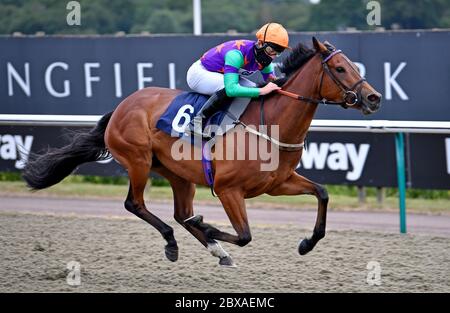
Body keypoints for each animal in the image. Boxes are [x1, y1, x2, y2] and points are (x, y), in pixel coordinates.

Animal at [21, 36, 380, 266]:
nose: (373, 97)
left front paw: (306, 244)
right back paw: (176, 242)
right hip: (137, 161)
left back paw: (215, 250)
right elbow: (245, 235)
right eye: (340, 69)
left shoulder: (278, 183)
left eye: (352, 65)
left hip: (178, 173)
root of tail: (122, 106)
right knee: (135, 204)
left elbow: (322, 193)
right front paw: (209, 227)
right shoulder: (228, 189)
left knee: (181, 213)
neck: (270, 124)